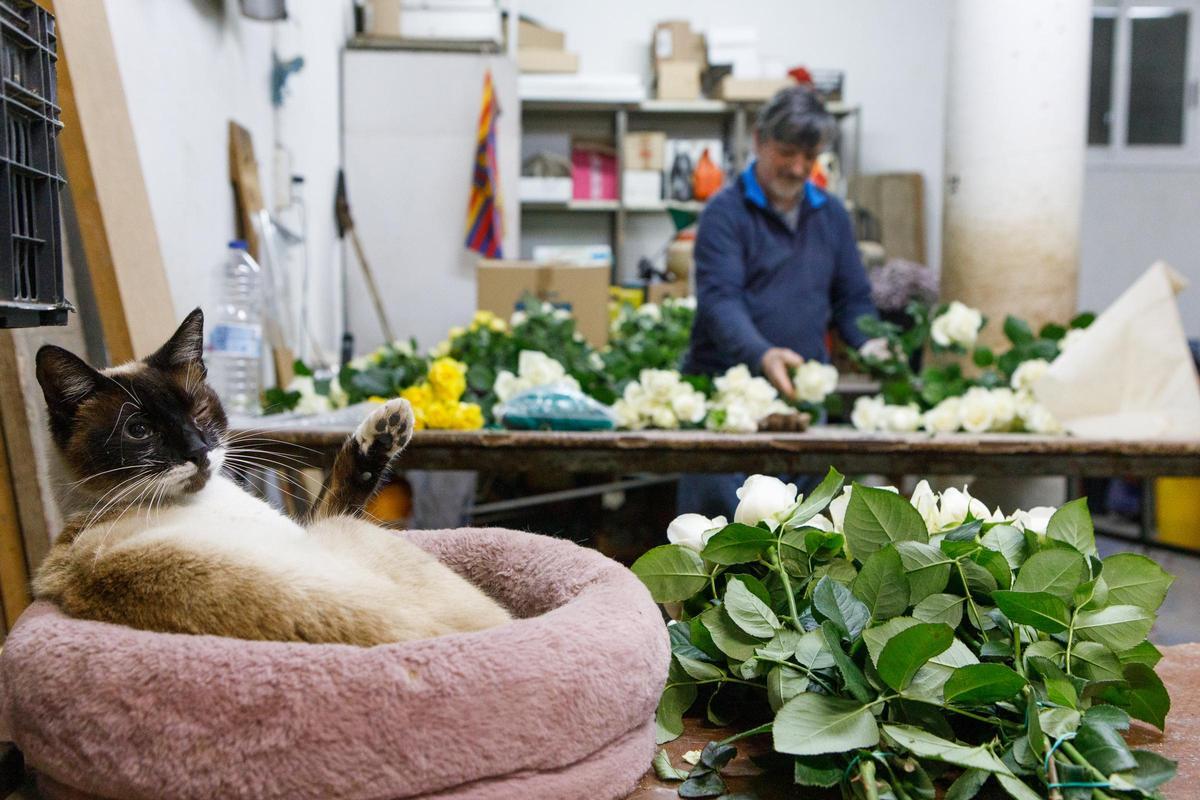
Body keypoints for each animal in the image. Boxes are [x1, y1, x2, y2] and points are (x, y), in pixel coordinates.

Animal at [31, 309, 511, 647]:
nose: (198, 451)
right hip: (348, 534)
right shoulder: (307, 527)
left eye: (198, 411)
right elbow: (341, 489)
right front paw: (391, 422)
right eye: (139, 430)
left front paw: (390, 424)